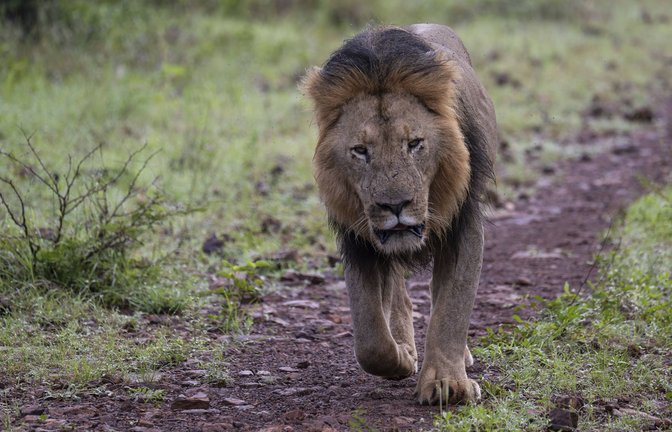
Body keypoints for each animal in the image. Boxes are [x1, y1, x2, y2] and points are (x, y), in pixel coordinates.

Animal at [301, 24, 496, 405]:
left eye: (415, 144)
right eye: (360, 151)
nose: (395, 206)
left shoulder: (464, 223)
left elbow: (453, 307)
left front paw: (447, 383)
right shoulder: (358, 239)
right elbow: (369, 336)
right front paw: (401, 360)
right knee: (397, 296)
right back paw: (405, 345)